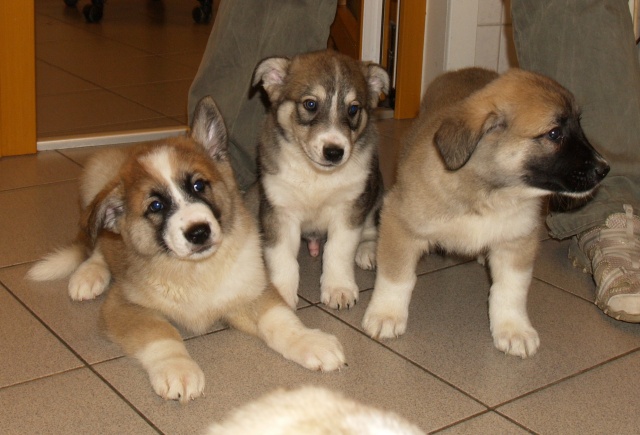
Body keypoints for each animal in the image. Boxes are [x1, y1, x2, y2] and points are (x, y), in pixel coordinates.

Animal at [28, 97, 345, 403]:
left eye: (198, 185)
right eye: (156, 206)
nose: (199, 232)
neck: (196, 271)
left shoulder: (253, 290)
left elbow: (280, 319)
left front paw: (310, 341)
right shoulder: (124, 306)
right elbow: (161, 332)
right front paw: (178, 369)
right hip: (95, 177)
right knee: (97, 244)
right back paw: (88, 276)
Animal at [251, 49, 390, 310]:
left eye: (353, 109)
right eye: (310, 104)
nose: (334, 152)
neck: (316, 175)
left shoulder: (349, 208)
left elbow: (338, 250)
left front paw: (338, 288)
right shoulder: (279, 210)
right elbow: (282, 258)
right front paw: (281, 295)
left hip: (375, 192)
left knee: (369, 228)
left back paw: (368, 250)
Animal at [362, 67, 610, 358]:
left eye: (579, 125)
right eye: (554, 134)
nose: (604, 169)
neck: (489, 196)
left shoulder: (517, 241)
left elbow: (511, 290)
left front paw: (513, 329)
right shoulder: (399, 222)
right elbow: (396, 277)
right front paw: (386, 314)